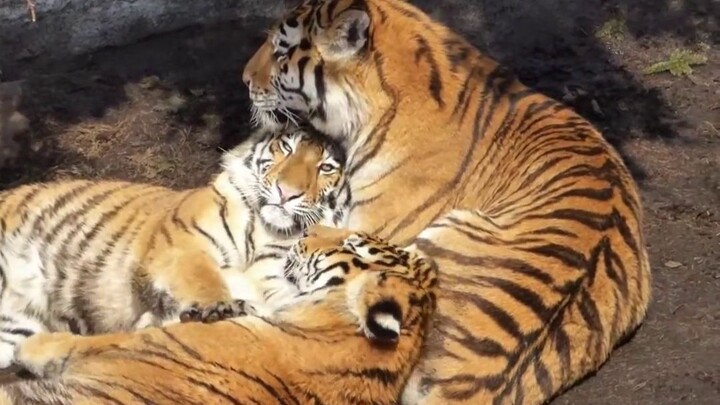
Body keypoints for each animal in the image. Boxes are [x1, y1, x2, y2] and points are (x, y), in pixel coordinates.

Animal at [0, 123, 349, 369]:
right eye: (286, 149)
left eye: (326, 168)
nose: (286, 193)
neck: (264, 231)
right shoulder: (183, 243)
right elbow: (203, 278)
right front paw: (219, 308)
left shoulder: (280, 288)